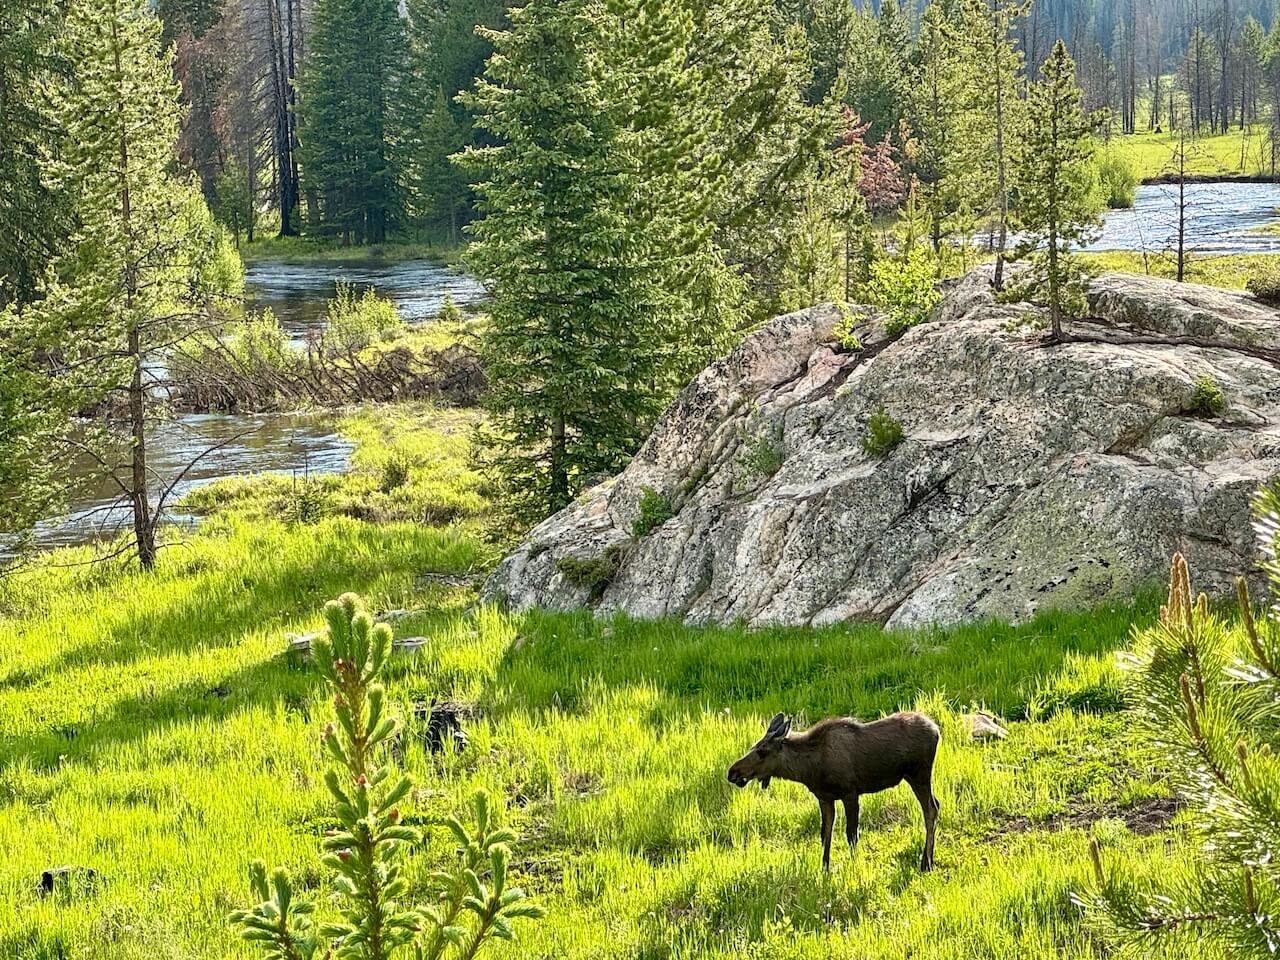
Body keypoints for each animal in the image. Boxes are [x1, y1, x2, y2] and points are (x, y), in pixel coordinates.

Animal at [727, 711, 941, 872]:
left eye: (762, 751)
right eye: (754, 745)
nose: (732, 772)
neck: (809, 769)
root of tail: (937, 730)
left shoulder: (850, 793)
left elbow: (851, 834)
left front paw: (854, 866)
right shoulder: (824, 797)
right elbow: (825, 832)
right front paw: (825, 868)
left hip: (919, 774)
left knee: (930, 810)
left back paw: (926, 863)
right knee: (936, 805)